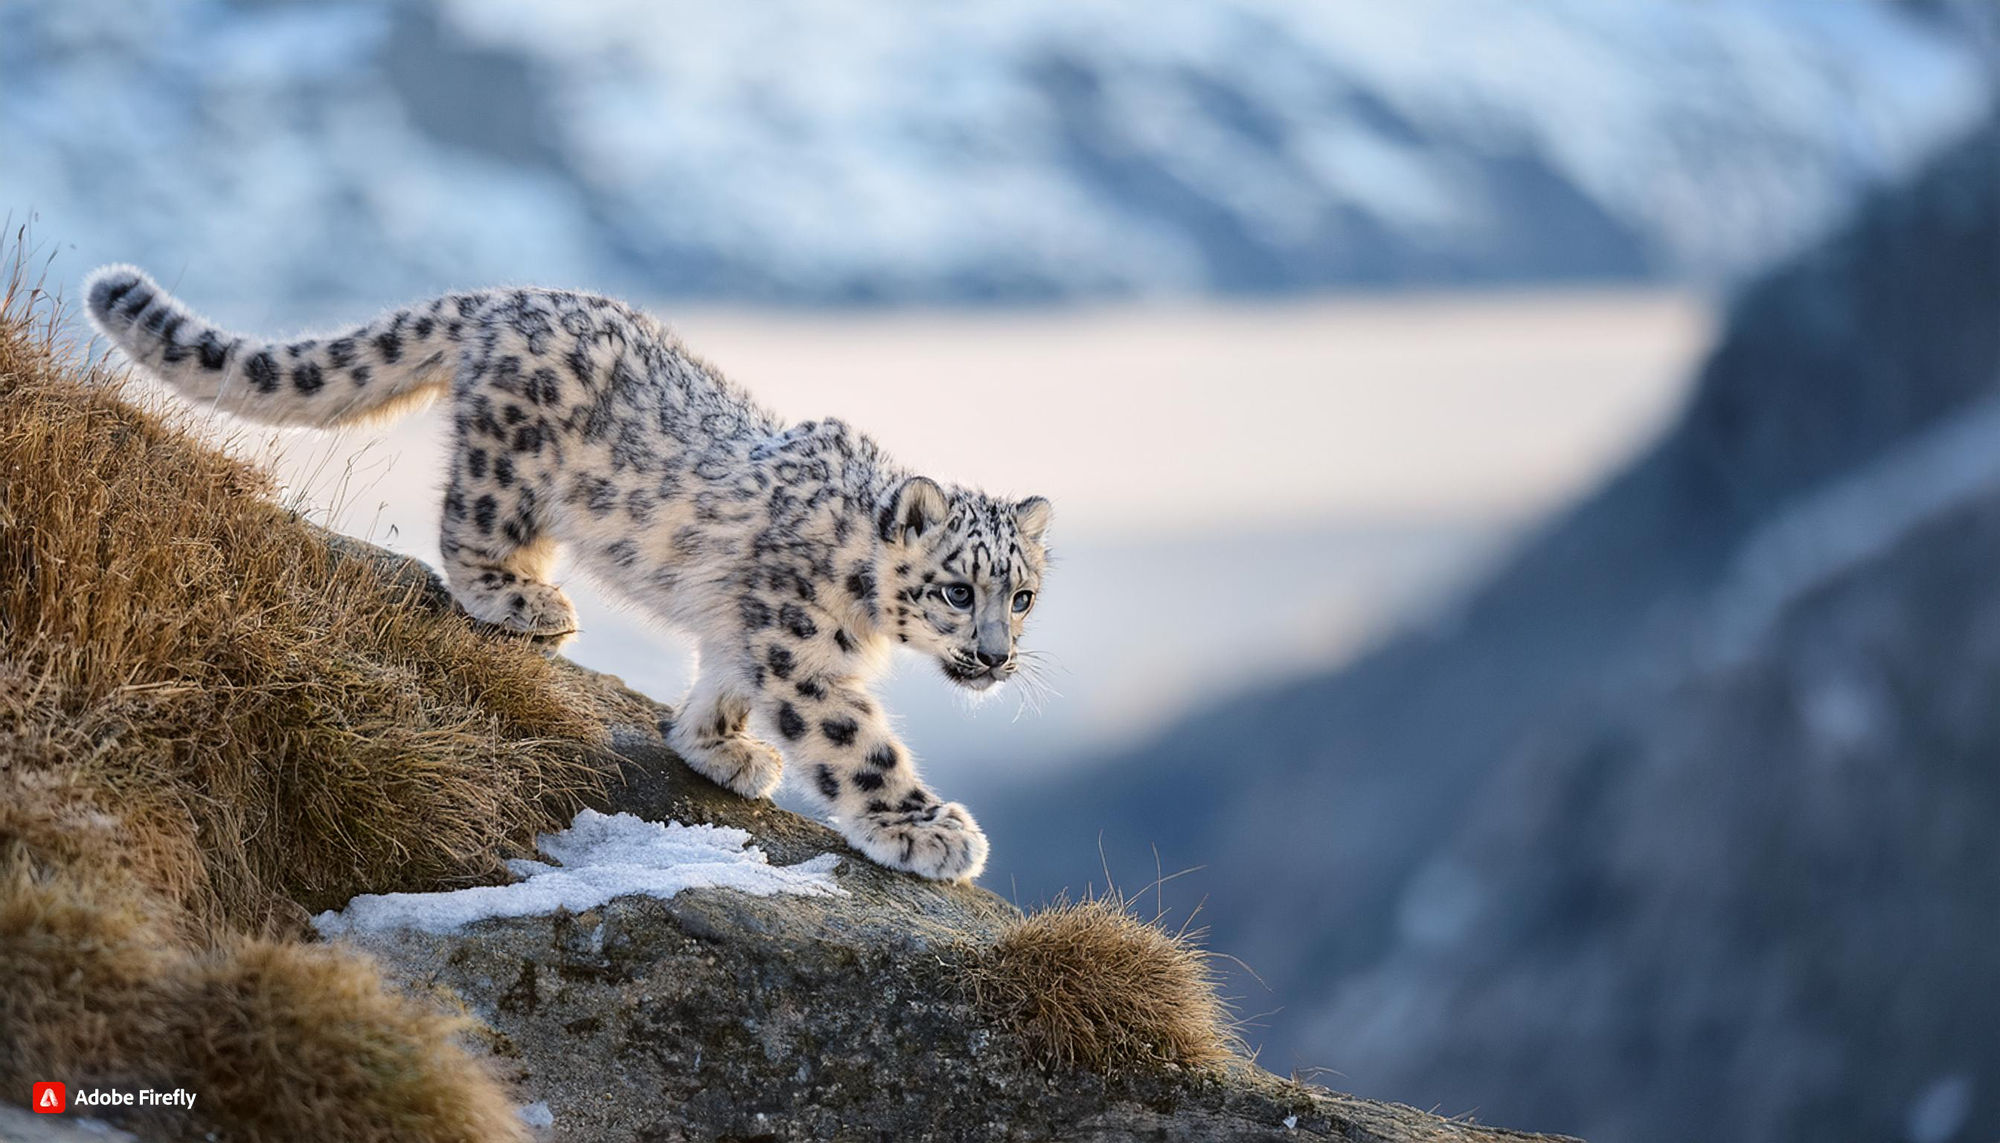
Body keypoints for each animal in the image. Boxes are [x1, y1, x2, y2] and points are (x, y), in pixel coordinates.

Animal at [84, 264, 1053, 882]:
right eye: (958, 589)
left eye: (1023, 596)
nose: (996, 656)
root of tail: (508, 295)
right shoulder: (802, 651)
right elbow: (859, 746)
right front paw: (929, 831)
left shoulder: (749, 634)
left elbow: (721, 680)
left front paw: (719, 746)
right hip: (511, 471)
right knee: (467, 527)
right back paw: (522, 599)